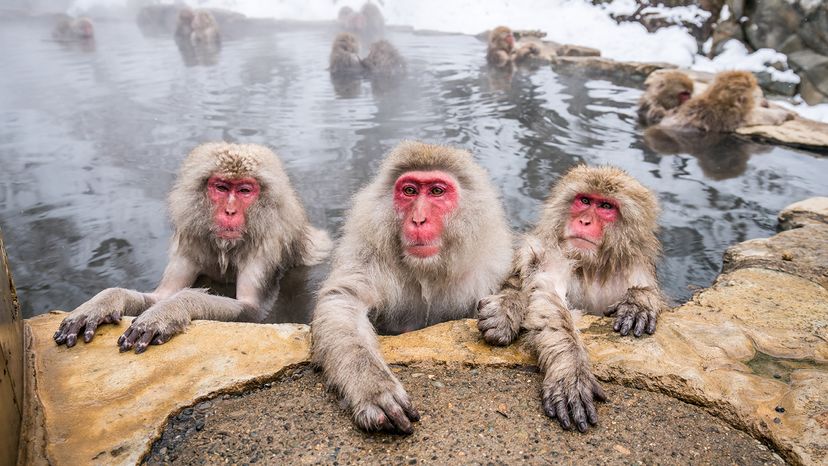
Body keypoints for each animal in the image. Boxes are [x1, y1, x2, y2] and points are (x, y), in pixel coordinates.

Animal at [54, 142, 332, 353]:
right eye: (221, 187)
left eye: (244, 190)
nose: (230, 212)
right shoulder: (191, 242)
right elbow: (160, 295)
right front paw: (103, 302)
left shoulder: (265, 247)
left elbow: (254, 311)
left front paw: (170, 310)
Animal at [311, 141, 513, 434]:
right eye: (409, 191)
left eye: (437, 191)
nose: (418, 220)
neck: (427, 270)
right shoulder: (368, 256)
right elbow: (344, 301)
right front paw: (373, 387)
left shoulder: (492, 265)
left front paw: (505, 312)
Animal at [477, 165, 667, 433]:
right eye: (584, 201)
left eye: (606, 206)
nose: (584, 221)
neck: (592, 268)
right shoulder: (553, 254)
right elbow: (548, 298)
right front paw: (572, 371)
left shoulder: (635, 266)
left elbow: (645, 289)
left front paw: (639, 302)